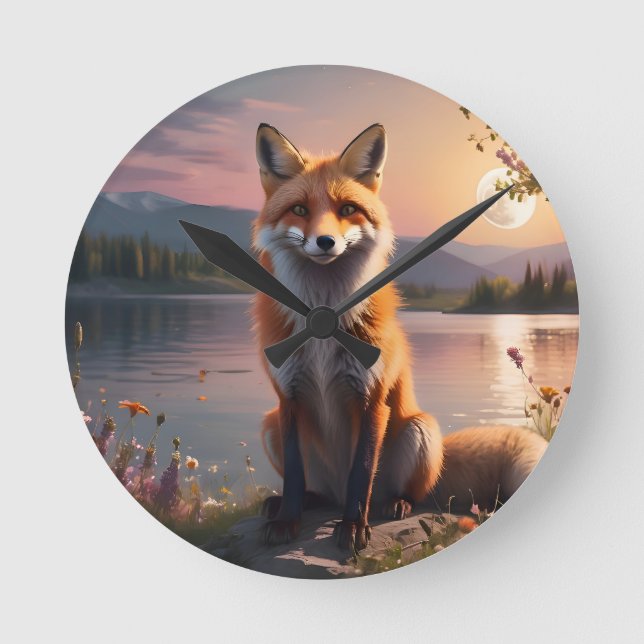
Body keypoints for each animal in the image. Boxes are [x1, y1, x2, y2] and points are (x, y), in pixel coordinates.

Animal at [251, 122, 547, 551]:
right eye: (300, 210)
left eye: (347, 209)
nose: (325, 242)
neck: (325, 312)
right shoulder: (287, 399)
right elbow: (293, 473)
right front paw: (288, 520)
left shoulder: (371, 398)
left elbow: (361, 474)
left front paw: (353, 528)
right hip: (270, 424)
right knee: (318, 491)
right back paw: (304, 502)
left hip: (418, 428)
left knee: (400, 493)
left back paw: (396, 505)